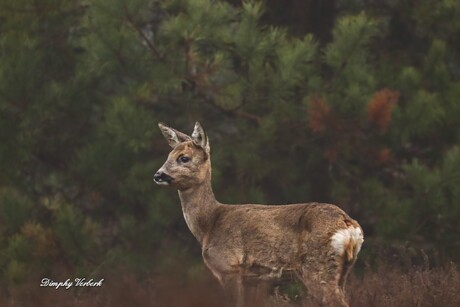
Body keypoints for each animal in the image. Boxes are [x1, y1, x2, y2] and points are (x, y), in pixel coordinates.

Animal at [155, 121, 362, 306]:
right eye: (168, 155)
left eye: (184, 158)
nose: (158, 175)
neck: (209, 225)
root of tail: (349, 226)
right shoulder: (254, 279)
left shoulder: (229, 267)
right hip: (342, 271)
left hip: (318, 266)